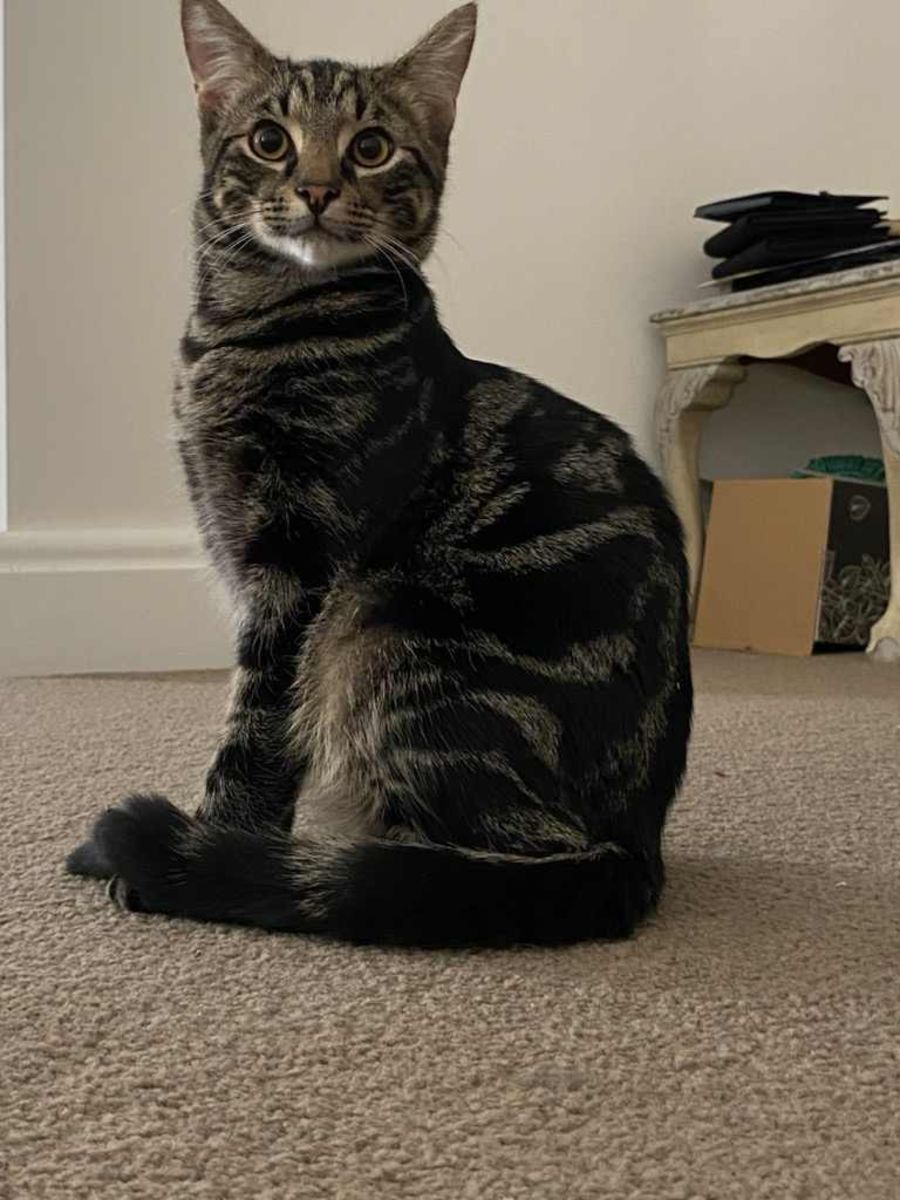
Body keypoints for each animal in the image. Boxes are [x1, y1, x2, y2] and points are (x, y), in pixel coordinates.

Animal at [67, 0, 692, 948]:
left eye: (370, 147)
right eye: (270, 140)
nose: (319, 187)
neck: (250, 330)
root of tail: (637, 845)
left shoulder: (298, 566)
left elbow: (256, 730)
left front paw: (202, 844)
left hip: (385, 626)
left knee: (458, 859)